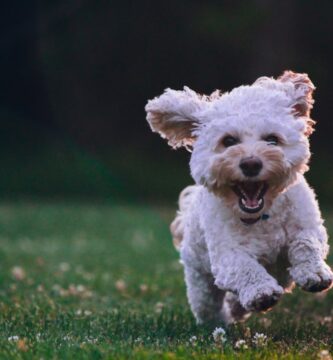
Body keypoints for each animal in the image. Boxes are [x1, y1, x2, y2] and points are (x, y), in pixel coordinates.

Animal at [145, 71, 332, 326]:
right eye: (229, 141)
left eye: (272, 139)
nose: (251, 163)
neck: (262, 216)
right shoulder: (226, 255)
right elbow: (244, 267)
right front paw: (261, 292)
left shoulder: (308, 224)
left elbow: (306, 243)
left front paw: (314, 273)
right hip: (200, 279)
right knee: (208, 304)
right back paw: (221, 321)